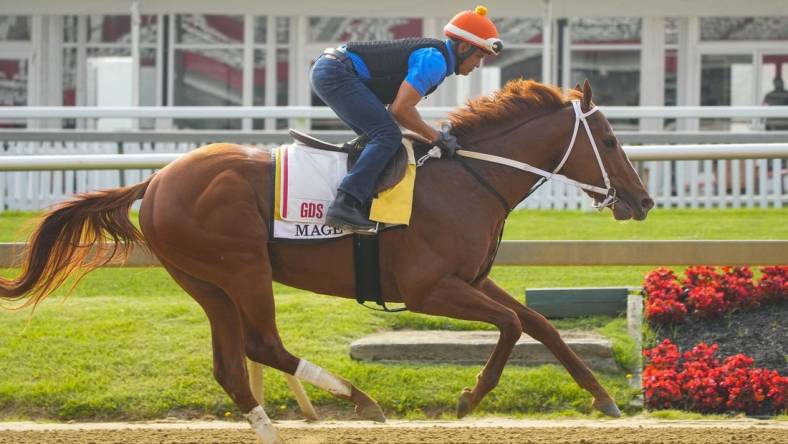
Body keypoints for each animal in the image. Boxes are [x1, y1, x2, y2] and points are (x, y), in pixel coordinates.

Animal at [1, 80, 652, 444]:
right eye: (611, 142)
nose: (643, 201)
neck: (469, 177)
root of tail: (156, 180)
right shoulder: (428, 288)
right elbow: (514, 324)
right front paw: (469, 399)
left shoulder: (471, 278)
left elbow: (540, 324)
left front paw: (603, 397)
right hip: (241, 268)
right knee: (261, 344)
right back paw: (360, 401)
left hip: (204, 281)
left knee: (231, 365)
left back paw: (275, 428)